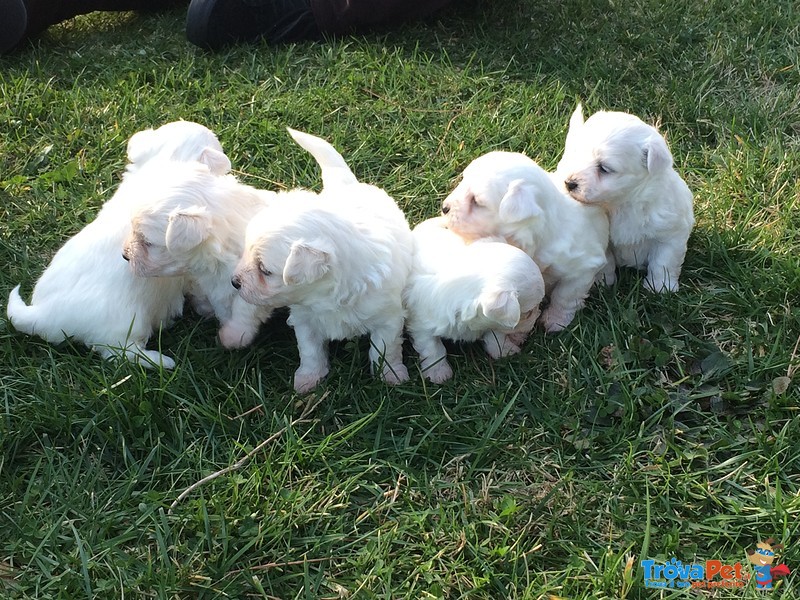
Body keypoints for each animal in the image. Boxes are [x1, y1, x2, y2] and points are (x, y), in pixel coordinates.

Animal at [228, 129, 410, 394]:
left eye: (265, 270)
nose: (234, 282)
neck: (325, 296)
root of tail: (346, 186)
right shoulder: (305, 320)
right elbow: (310, 351)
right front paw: (308, 379)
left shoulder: (388, 317)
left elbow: (386, 349)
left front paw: (391, 375)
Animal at [404, 218, 548, 382]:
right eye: (528, 313)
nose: (536, 318)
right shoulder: (421, 325)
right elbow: (433, 348)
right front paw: (438, 372)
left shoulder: (493, 322)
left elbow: (495, 336)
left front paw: (504, 350)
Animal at [556, 105, 692, 292]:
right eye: (577, 157)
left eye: (604, 168)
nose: (569, 183)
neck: (622, 203)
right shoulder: (603, 238)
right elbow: (606, 262)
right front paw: (602, 282)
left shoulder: (671, 233)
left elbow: (664, 261)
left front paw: (660, 287)